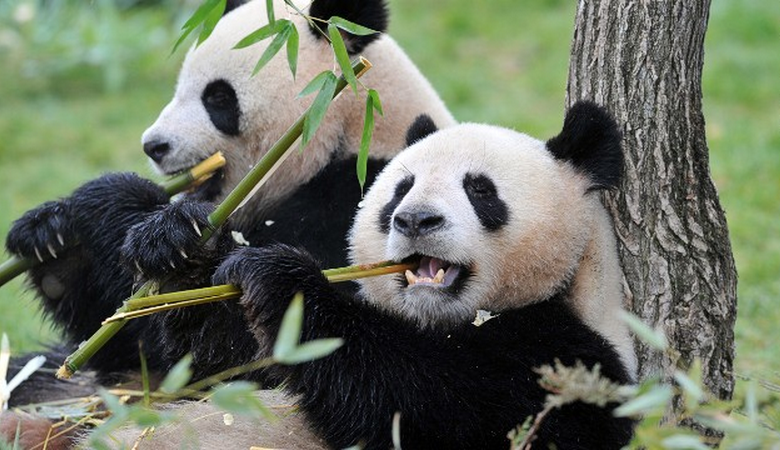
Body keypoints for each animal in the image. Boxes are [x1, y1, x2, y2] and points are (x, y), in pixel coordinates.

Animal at [94, 101, 636, 450]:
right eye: (400, 189)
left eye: (481, 190)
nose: (415, 220)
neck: (441, 319)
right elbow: (227, 365)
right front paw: (180, 244)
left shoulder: (565, 356)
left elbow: (430, 406)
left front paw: (282, 279)